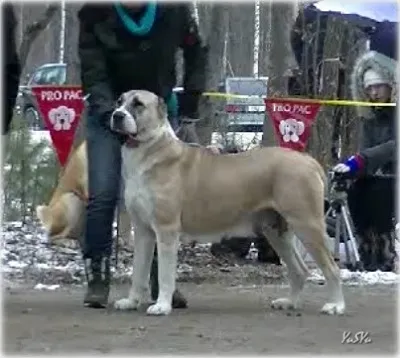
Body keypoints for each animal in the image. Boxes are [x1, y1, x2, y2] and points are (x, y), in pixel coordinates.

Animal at [109, 89, 344, 316]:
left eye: (138, 104)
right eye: (119, 101)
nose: (117, 115)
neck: (151, 150)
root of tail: (308, 160)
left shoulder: (166, 230)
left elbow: (165, 274)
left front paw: (162, 306)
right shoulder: (143, 231)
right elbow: (139, 271)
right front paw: (131, 301)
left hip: (306, 224)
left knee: (332, 268)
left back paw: (335, 305)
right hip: (276, 231)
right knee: (299, 270)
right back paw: (290, 302)